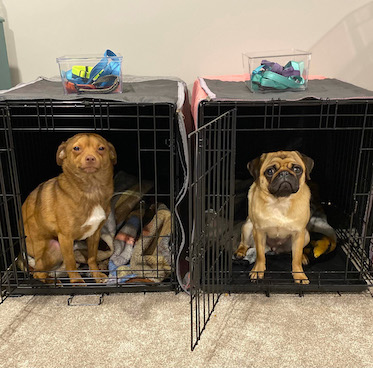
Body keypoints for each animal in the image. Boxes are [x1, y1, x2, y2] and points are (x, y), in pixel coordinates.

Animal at [21, 134, 116, 284]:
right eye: (76, 148)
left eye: (101, 148)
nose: (90, 158)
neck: (91, 189)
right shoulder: (65, 238)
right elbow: (71, 263)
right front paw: (77, 282)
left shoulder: (95, 234)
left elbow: (92, 257)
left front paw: (96, 274)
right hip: (54, 247)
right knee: (38, 273)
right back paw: (51, 282)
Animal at [235, 151, 314, 284]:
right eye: (270, 171)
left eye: (297, 169)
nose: (284, 173)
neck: (280, 201)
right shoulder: (259, 232)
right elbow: (260, 256)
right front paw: (258, 271)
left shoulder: (299, 233)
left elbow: (296, 259)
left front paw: (299, 275)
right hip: (247, 227)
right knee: (244, 243)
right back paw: (240, 253)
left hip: (306, 235)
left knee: (296, 252)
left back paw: (303, 257)